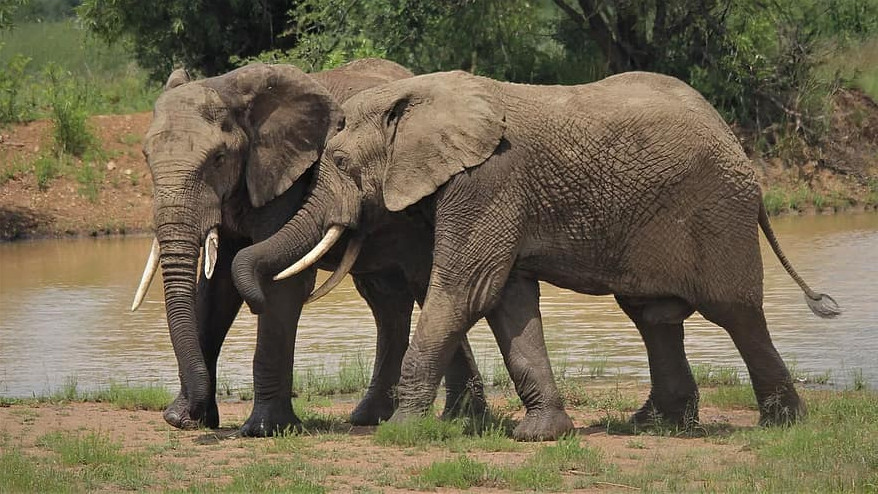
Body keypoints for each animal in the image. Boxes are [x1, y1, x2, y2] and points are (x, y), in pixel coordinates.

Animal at [131, 60, 488, 436]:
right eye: (146, 156)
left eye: (218, 158)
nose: (196, 414)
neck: (228, 88)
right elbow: (216, 289)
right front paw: (182, 419)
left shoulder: (289, 177)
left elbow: (278, 283)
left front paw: (262, 430)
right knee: (387, 300)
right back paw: (377, 418)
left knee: (425, 287)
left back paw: (456, 418)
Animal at [230, 69, 844, 440]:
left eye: (338, 161)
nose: (257, 297)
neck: (424, 95)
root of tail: (740, 149)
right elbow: (508, 302)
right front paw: (542, 434)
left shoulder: (488, 181)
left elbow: (463, 290)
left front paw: (400, 431)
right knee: (653, 315)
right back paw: (655, 425)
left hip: (717, 210)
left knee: (736, 312)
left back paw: (783, 425)